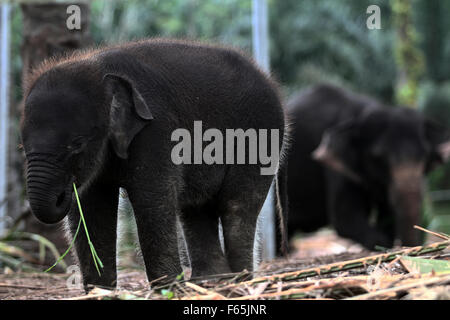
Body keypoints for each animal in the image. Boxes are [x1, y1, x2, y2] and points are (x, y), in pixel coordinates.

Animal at [284, 84, 450, 250]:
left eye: (425, 155)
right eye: (379, 157)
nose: (408, 247)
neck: (361, 114)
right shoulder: (335, 167)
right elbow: (346, 219)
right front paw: (383, 245)